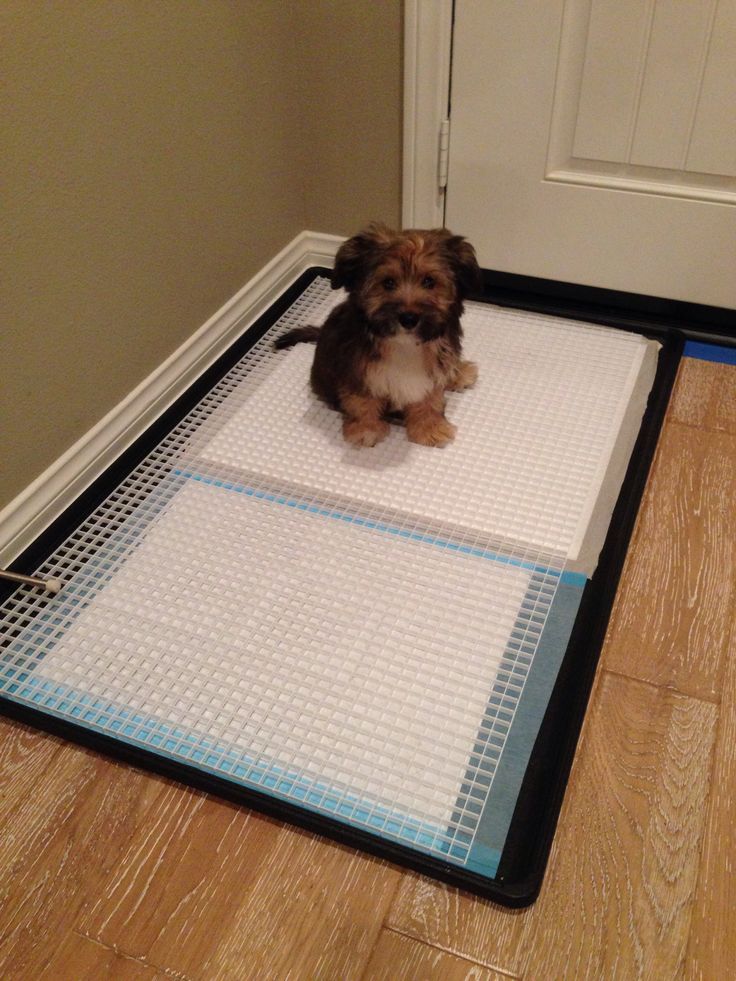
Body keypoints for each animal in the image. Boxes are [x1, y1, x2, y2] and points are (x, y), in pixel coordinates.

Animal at [274, 222, 480, 448]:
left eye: (429, 281)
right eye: (388, 282)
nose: (408, 318)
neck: (405, 344)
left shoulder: (433, 367)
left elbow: (429, 398)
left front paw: (429, 427)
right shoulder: (356, 369)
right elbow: (362, 400)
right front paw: (367, 429)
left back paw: (459, 373)